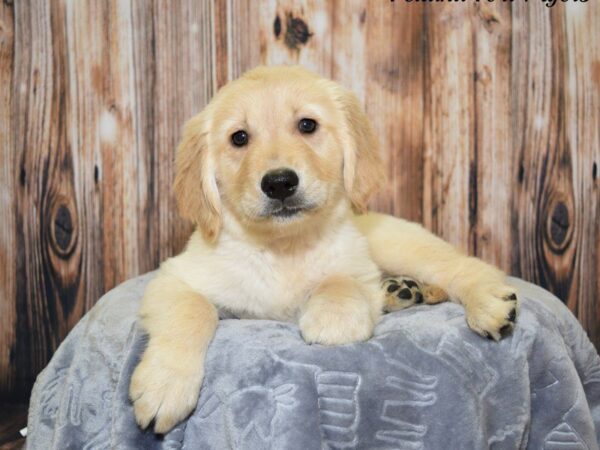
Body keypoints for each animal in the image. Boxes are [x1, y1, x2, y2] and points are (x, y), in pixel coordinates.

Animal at [129, 66, 516, 432]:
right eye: (239, 137)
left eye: (307, 125)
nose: (279, 183)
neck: (283, 246)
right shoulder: (174, 277)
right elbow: (192, 311)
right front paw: (164, 385)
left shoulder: (356, 264)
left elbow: (339, 279)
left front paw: (334, 318)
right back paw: (402, 291)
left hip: (398, 244)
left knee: (463, 266)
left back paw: (488, 302)